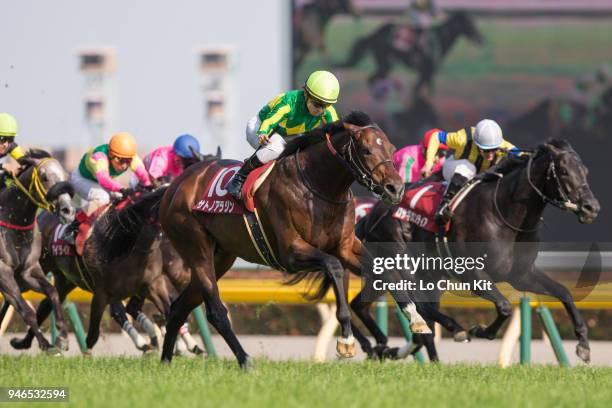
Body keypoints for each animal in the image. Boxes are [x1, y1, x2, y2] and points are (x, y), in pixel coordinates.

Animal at [0, 148, 75, 352]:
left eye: (65, 176)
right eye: (45, 177)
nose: (68, 211)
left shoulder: (28, 271)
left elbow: (53, 292)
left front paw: (62, 337)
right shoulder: (4, 272)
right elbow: (26, 311)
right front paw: (45, 344)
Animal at [158, 111, 412, 366]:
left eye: (391, 149)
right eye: (367, 150)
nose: (396, 188)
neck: (318, 186)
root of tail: (177, 184)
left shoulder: (346, 246)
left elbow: (385, 268)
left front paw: (413, 316)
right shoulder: (292, 252)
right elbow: (335, 267)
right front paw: (346, 340)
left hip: (221, 256)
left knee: (179, 308)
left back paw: (166, 361)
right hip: (195, 246)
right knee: (215, 312)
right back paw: (245, 360)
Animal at [338, 11, 480, 95]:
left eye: (472, 22)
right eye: (469, 23)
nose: (480, 39)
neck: (438, 38)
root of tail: (374, 34)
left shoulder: (425, 73)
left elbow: (420, 90)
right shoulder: (427, 72)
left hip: (384, 65)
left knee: (373, 79)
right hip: (386, 64)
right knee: (372, 79)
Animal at [356, 139, 600, 360]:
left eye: (585, 171)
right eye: (564, 171)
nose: (591, 208)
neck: (505, 215)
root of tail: (372, 214)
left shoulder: (521, 275)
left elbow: (564, 292)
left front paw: (583, 344)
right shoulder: (471, 273)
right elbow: (504, 306)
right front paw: (480, 330)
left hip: (422, 273)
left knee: (368, 305)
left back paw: (388, 347)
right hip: (401, 258)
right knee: (419, 303)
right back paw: (453, 330)